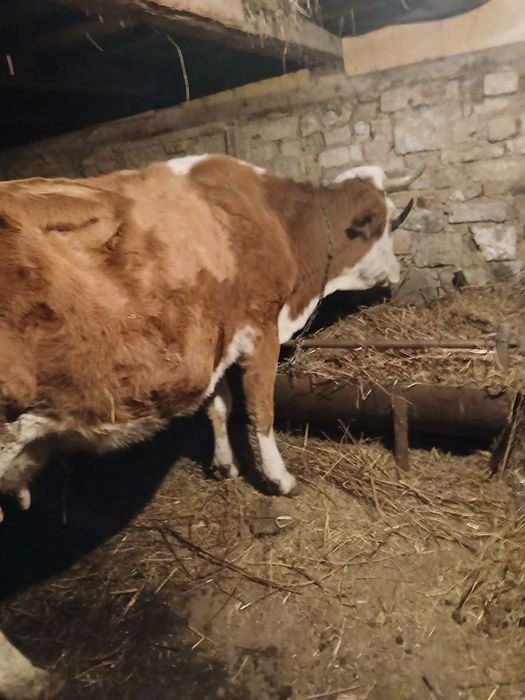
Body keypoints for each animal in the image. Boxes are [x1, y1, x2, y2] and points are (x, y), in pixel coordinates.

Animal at [0, 154, 419, 517]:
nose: (398, 275)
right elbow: (260, 409)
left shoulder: (218, 337)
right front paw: (280, 480)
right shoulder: (260, 326)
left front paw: (223, 465)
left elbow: (220, 405)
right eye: (387, 223)